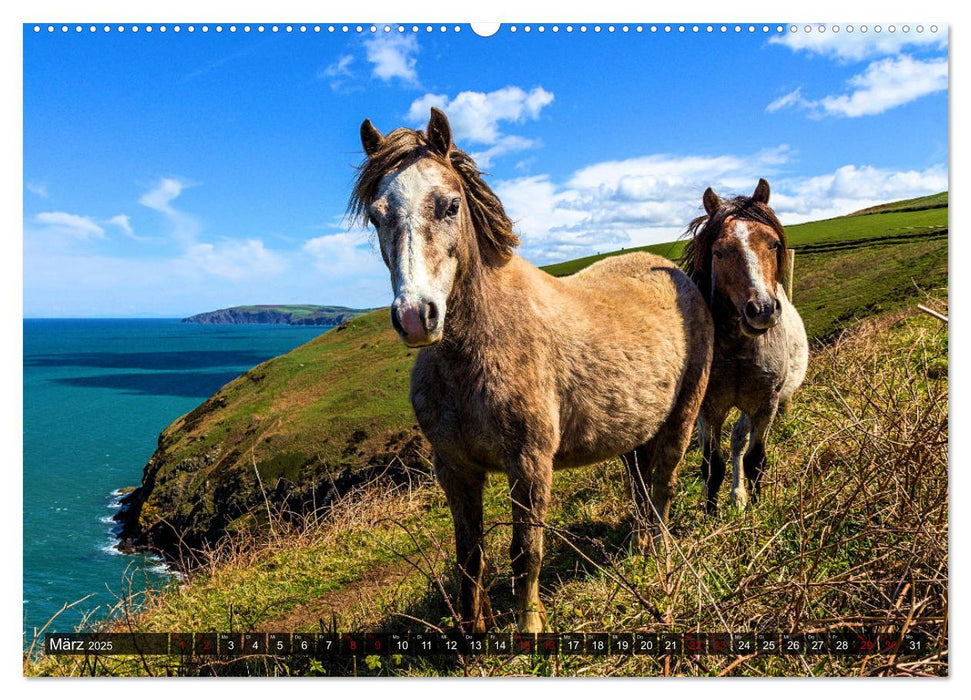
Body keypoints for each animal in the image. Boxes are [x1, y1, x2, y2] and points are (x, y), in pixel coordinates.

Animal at [350, 108, 712, 636]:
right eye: (377, 216)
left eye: (450, 206)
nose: (416, 316)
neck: (475, 354)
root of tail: (673, 273)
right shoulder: (455, 469)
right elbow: (470, 557)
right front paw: (472, 632)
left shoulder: (530, 465)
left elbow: (526, 554)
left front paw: (530, 628)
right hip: (633, 432)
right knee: (641, 487)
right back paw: (640, 546)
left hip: (682, 418)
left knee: (662, 487)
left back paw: (659, 556)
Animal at [684, 178, 812, 512]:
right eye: (718, 251)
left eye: (774, 244)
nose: (762, 309)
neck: (739, 350)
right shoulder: (710, 410)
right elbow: (712, 466)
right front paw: (710, 514)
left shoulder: (765, 405)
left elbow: (755, 458)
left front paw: (756, 507)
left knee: (738, 441)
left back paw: (738, 495)